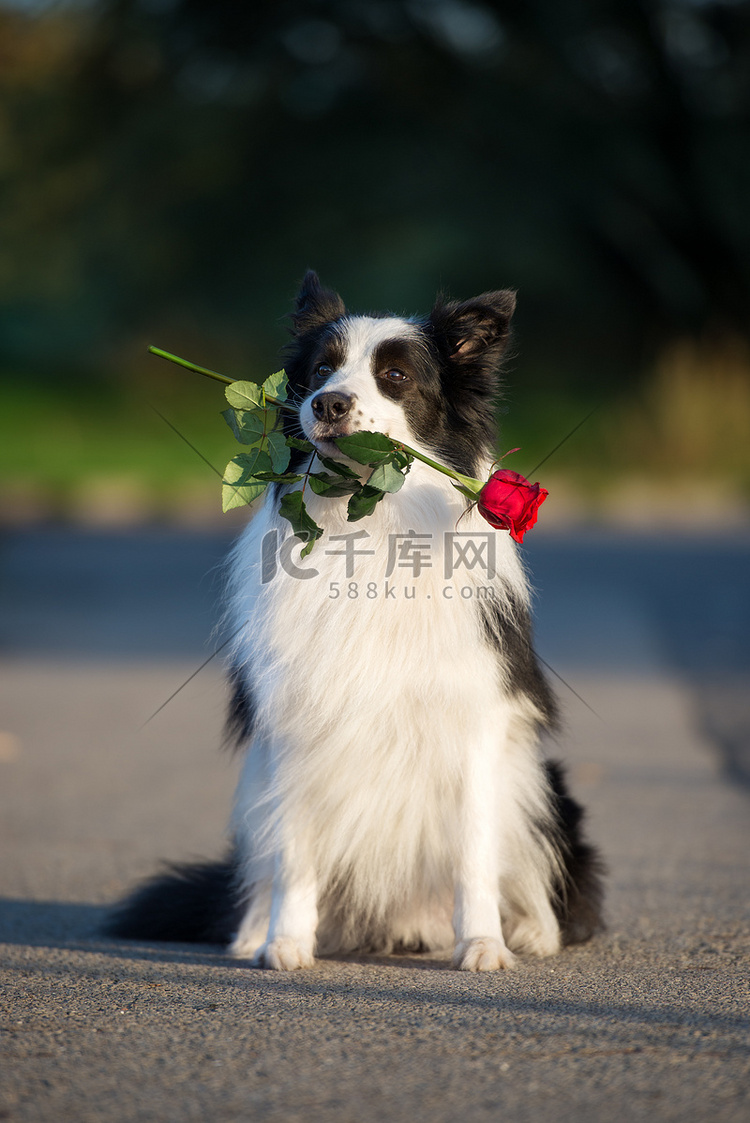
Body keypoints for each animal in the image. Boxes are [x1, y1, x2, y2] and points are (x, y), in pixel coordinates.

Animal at [110, 274, 601, 974]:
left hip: (544, 785)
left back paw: (531, 932)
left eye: (395, 375)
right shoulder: (293, 723)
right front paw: (286, 943)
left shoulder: (477, 722)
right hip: (254, 787)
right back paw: (253, 934)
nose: (329, 403)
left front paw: (483, 944)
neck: (364, 523)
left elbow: (474, 854)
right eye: (321, 369)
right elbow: (295, 853)